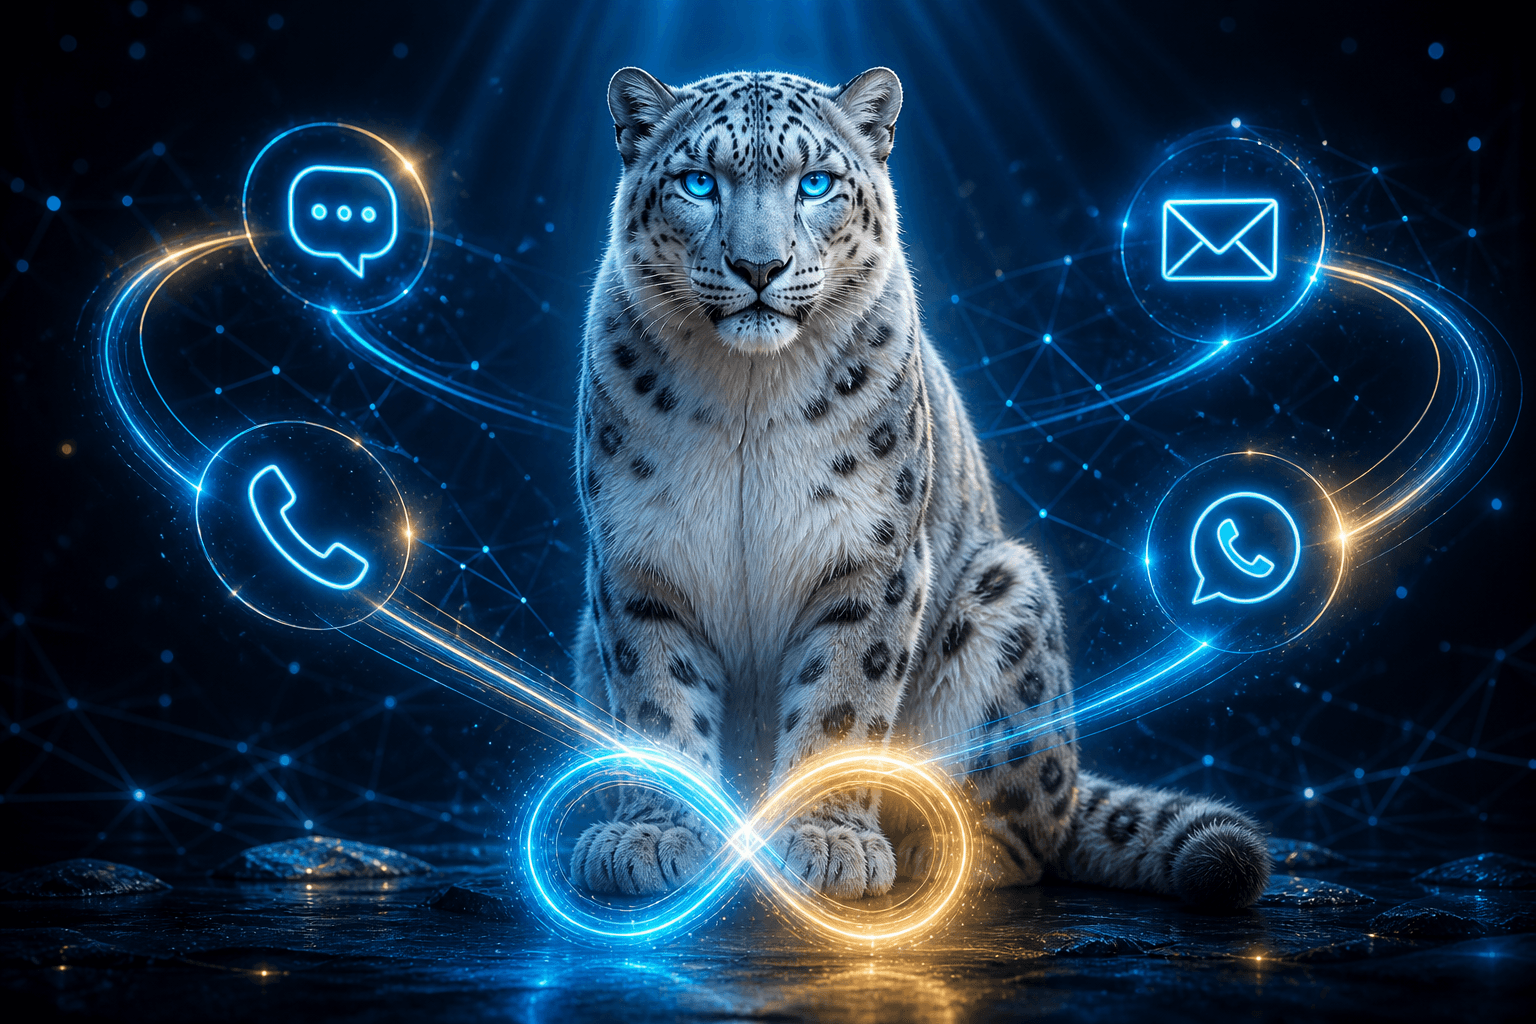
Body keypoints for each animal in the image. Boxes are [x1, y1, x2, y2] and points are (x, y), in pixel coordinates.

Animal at [568, 65, 1271, 908]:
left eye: (816, 182)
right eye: (699, 182)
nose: (759, 268)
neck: (748, 391)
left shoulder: (870, 556)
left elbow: (843, 701)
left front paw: (828, 842)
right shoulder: (639, 557)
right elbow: (656, 700)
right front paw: (654, 836)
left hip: (1008, 598)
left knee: (1031, 830)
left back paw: (944, 856)